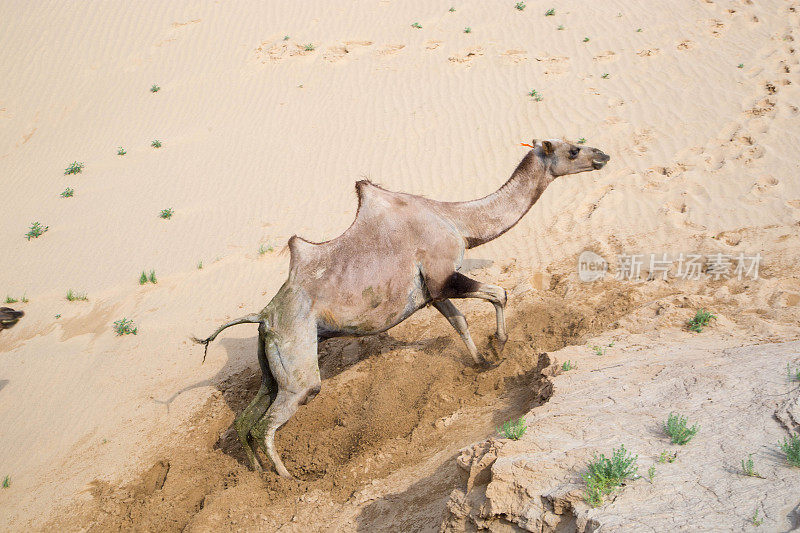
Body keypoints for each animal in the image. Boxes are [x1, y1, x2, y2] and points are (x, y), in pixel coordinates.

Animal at [194, 139, 608, 476]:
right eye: (573, 150)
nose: (603, 155)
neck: (458, 221)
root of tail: (263, 317)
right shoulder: (444, 274)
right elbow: (498, 293)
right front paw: (499, 347)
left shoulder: (433, 292)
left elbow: (460, 322)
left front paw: (482, 364)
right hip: (298, 363)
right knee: (272, 420)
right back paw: (285, 480)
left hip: (272, 362)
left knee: (247, 419)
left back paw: (255, 474)